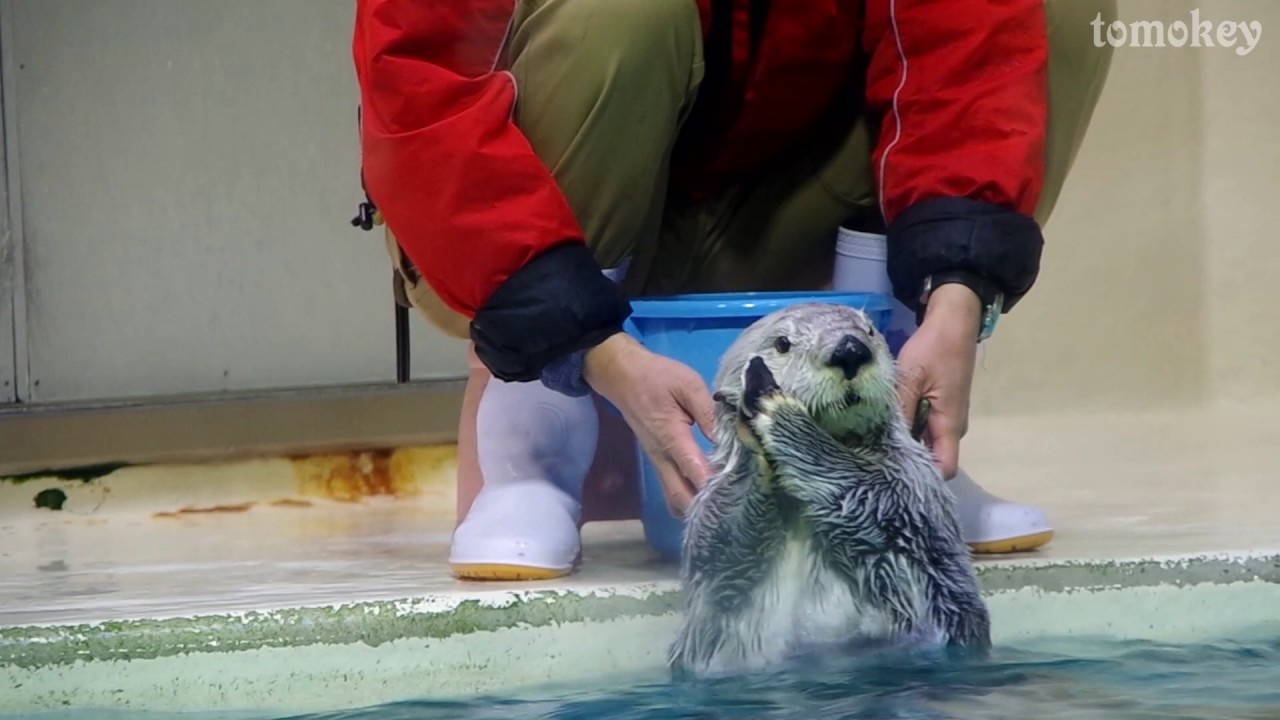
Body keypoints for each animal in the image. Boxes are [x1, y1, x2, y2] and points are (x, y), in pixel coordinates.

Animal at [667, 302, 991, 678]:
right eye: (782, 343)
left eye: (869, 330)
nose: (850, 350)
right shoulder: (708, 526)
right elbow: (722, 561)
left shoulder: (916, 489)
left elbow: (888, 532)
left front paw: (777, 410)